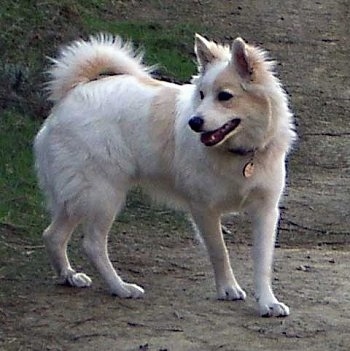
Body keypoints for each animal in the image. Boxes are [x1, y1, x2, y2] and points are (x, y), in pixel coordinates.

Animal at [33, 33, 296, 320]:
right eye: (201, 95)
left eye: (225, 96)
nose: (194, 123)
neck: (239, 153)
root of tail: (73, 93)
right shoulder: (203, 209)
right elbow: (219, 252)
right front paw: (228, 288)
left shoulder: (265, 211)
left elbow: (263, 263)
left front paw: (268, 302)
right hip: (103, 196)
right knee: (92, 245)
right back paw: (121, 288)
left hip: (78, 199)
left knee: (52, 235)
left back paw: (69, 276)